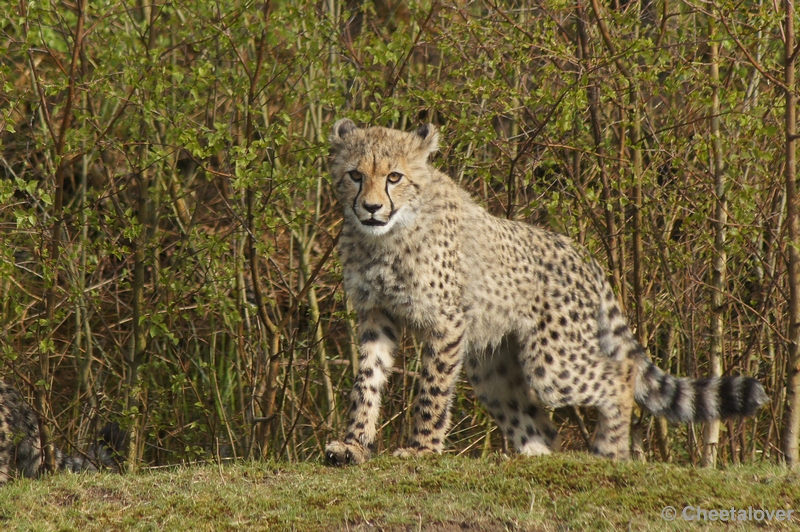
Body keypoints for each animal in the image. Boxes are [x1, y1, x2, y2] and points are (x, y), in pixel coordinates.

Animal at [324, 119, 768, 466]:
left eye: (394, 177)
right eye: (355, 175)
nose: (371, 208)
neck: (384, 239)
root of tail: (582, 253)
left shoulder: (446, 321)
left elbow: (432, 389)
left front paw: (421, 448)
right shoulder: (376, 314)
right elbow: (367, 379)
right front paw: (353, 445)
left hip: (550, 361)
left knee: (620, 375)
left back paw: (609, 452)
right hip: (493, 369)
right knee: (539, 426)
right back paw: (533, 458)